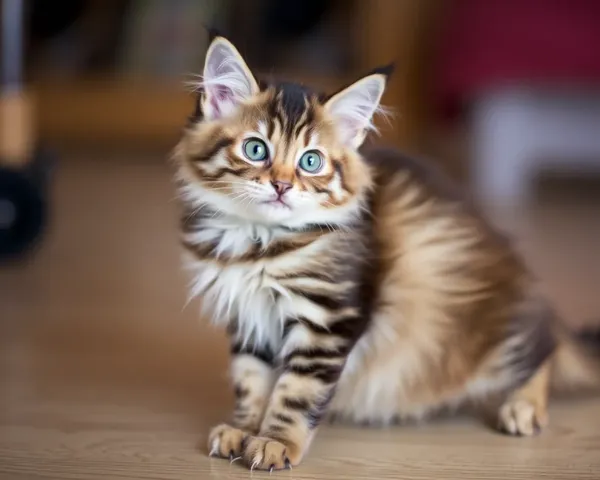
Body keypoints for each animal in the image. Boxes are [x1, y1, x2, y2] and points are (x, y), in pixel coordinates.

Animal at [172, 35, 600, 470]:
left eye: (311, 161)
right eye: (256, 150)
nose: (281, 185)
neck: (257, 244)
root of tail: (532, 293)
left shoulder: (328, 318)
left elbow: (296, 390)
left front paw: (276, 441)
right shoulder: (249, 319)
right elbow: (251, 380)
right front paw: (242, 429)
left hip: (488, 345)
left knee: (543, 351)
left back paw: (522, 406)